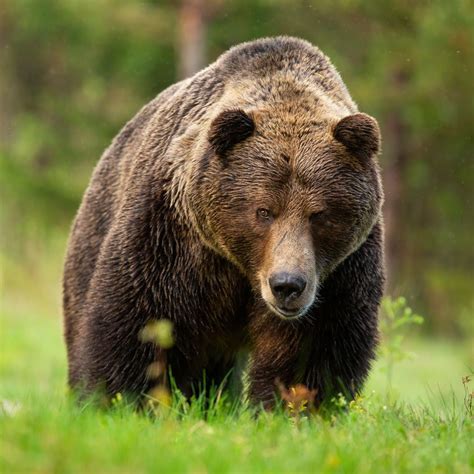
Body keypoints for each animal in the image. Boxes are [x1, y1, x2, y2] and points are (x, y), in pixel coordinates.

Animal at [65, 36, 386, 408]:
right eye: (264, 211)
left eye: (319, 214)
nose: (287, 285)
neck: (244, 268)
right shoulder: (171, 238)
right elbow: (138, 322)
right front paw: (117, 398)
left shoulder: (339, 273)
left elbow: (312, 352)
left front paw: (290, 407)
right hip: (93, 234)